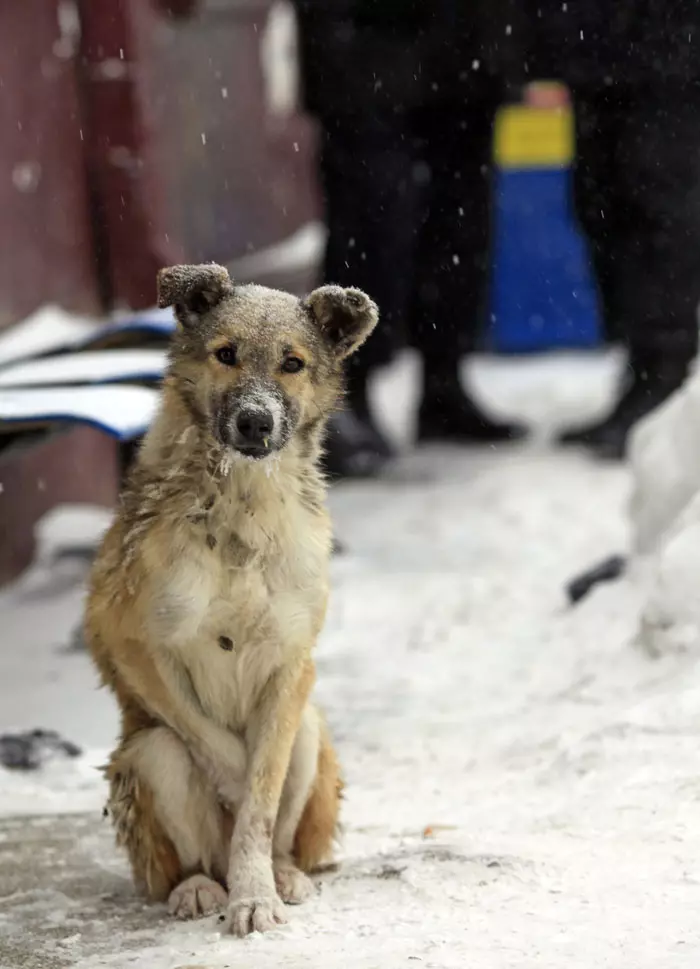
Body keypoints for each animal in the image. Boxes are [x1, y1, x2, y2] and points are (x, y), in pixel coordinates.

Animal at [85, 260, 380, 932]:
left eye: (292, 363)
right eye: (226, 354)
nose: (255, 421)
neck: (243, 506)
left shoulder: (292, 665)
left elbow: (261, 797)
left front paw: (256, 893)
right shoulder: (130, 642)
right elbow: (222, 754)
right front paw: (241, 869)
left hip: (309, 730)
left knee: (284, 813)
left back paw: (282, 875)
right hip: (150, 756)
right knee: (186, 817)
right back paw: (200, 887)